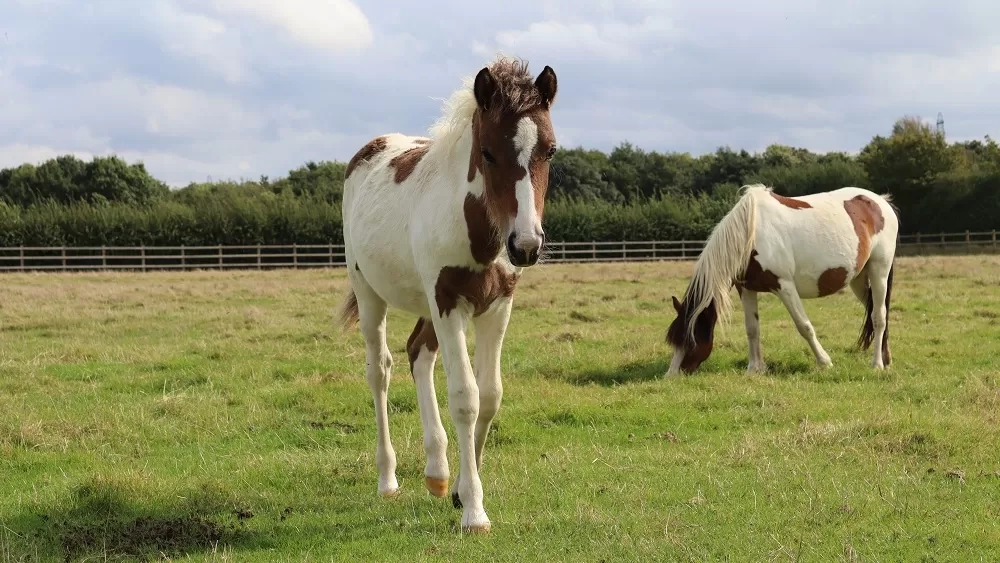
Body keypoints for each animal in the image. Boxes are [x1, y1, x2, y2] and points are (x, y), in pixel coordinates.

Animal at [335, 55, 559, 534]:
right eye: (488, 152)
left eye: (549, 151)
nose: (526, 246)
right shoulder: (448, 301)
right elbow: (465, 398)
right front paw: (474, 510)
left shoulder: (498, 305)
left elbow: (490, 395)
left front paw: (458, 491)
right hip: (371, 293)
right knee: (379, 370)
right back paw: (388, 478)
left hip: (428, 305)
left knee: (418, 352)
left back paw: (437, 472)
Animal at [665, 184, 900, 376]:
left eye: (691, 339)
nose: (672, 375)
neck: (750, 236)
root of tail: (880, 201)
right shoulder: (746, 289)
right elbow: (752, 329)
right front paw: (755, 369)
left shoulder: (784, 286)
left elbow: (804, 326)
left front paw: (825, 362)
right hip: (858, 279)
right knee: (875, 312)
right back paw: (887, 359)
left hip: (879, 270)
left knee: (879, 316)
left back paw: (877, 364)